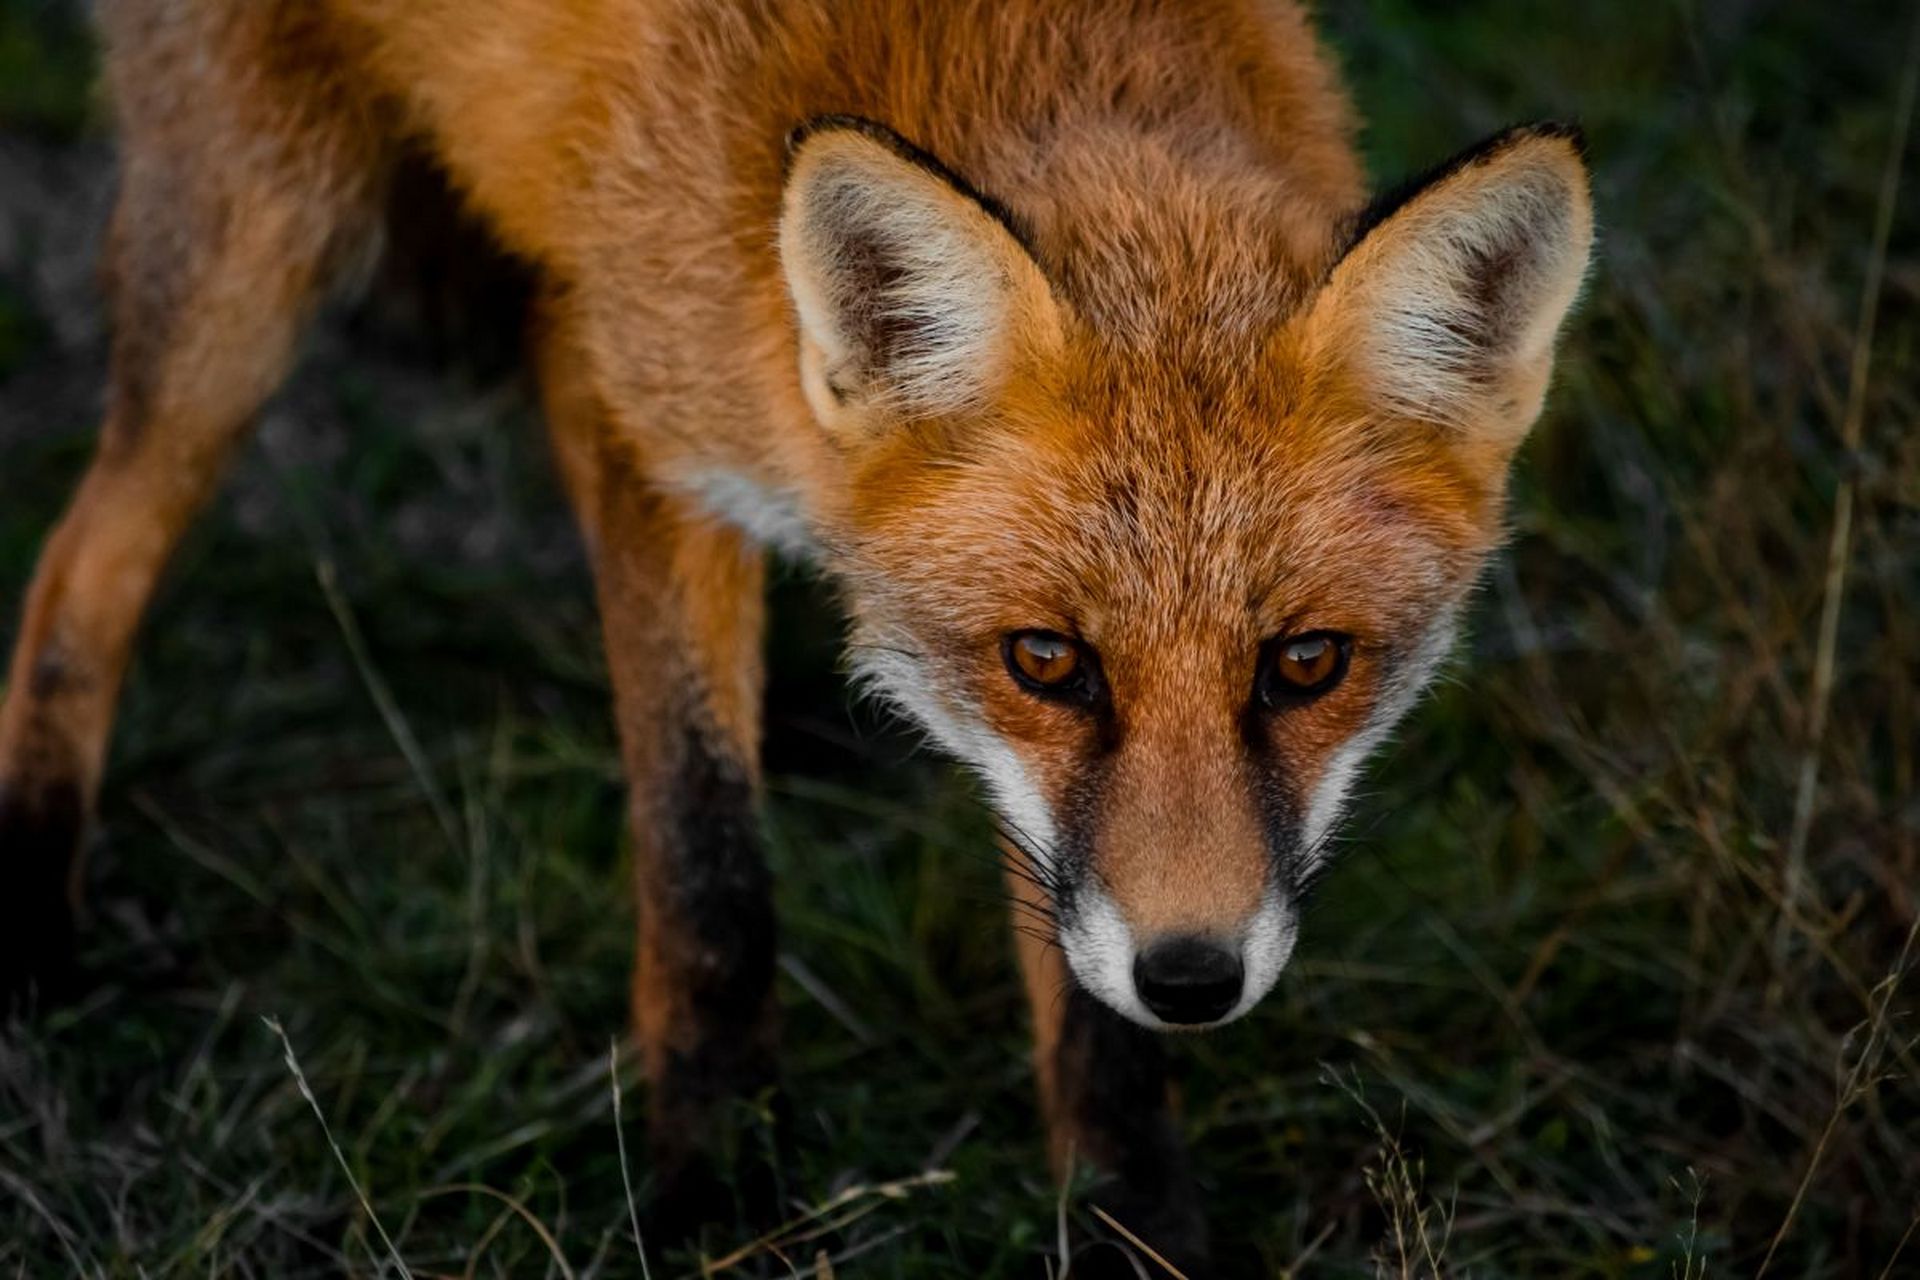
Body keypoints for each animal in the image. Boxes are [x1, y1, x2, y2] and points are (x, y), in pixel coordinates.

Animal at [0, 0, 1589, 1266]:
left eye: (1305, 664)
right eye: (1050, 661)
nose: (1191, 979)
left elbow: (1068, 965)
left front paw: (1129, 1210)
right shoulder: (639, 420)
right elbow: (705, 863)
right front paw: (711, 1177)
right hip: (256, 248)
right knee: (79, 570)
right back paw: (33, 911)